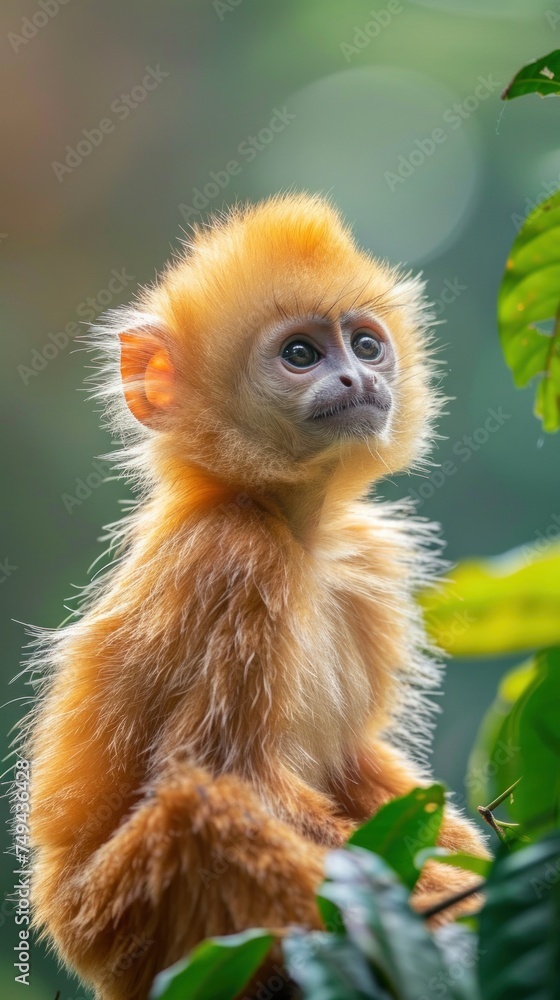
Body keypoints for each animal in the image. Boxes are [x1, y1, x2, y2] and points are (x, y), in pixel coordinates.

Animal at [23, 194, 488, 1000]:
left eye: (366, 345)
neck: (292, 529)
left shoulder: (364, 559)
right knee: (196, 806)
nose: (357, 379)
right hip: (123, 921)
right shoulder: (236, 560)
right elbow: (222, 770)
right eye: (300, 355)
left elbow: (353, 762)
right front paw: (451, 900)